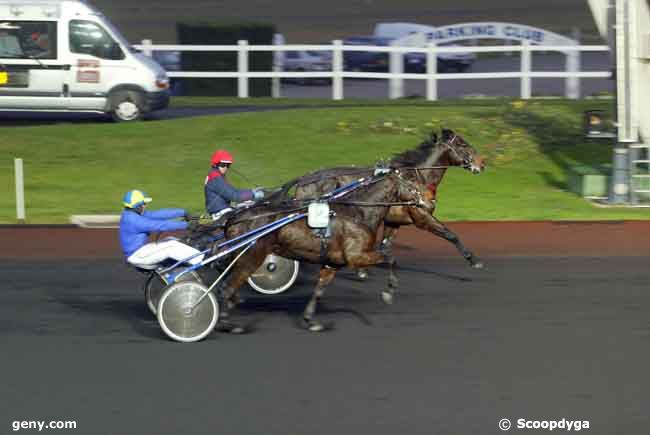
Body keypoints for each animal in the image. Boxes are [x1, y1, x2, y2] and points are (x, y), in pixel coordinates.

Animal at [215, 169, 432, 332]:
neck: (358, 212)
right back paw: (228, 323)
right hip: (252, 256)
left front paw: (311, 320)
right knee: (227, 286)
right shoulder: (356, 256)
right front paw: (389, 291)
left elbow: (319, 290)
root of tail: (234, 218)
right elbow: (390, 258)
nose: (431, 202)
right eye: (413, 184)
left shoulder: (333, 263)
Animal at [292, 127, 484, 276]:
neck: (416, 178)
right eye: (462, 144)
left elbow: (384, 246)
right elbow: (450, 234)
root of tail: (303, 179)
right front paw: (473, 260)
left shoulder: (393, 221)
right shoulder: (421, 216)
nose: (482, 163)